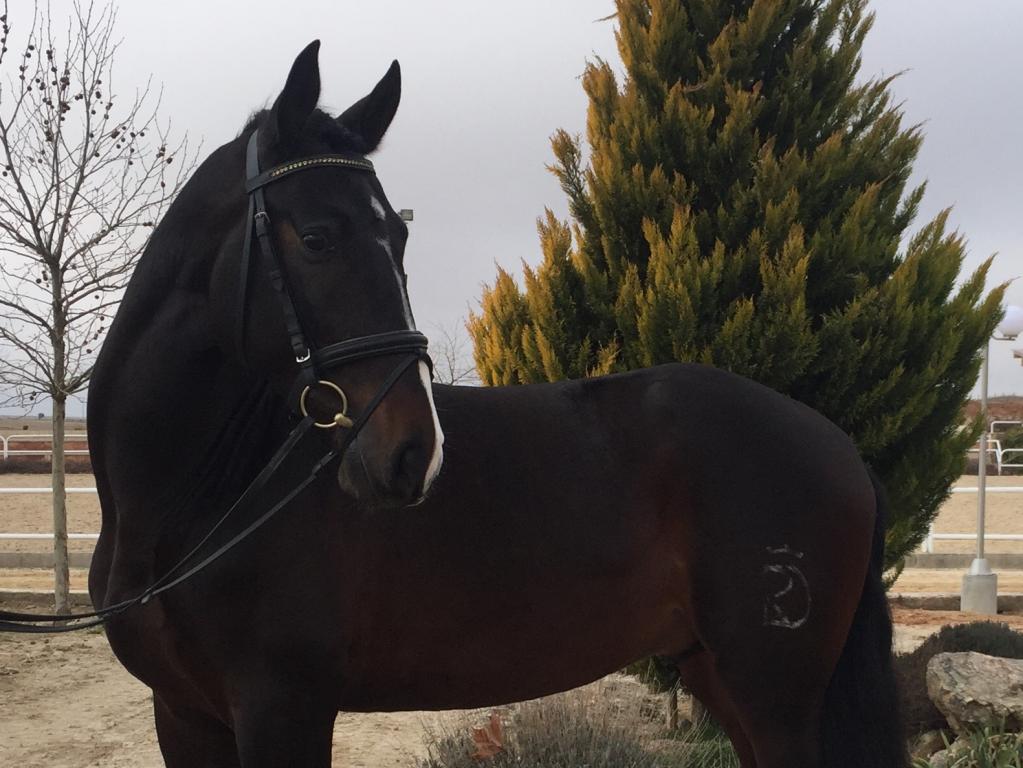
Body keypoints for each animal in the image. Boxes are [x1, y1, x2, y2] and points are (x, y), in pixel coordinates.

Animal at [87, 42, 905, 768]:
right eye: (317, 237)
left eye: (400, 234)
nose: (412, 452)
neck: (196, 505)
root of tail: (840, 448)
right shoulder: (185, 715)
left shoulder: (282, 709)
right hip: (714, 673)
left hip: (772, 695)